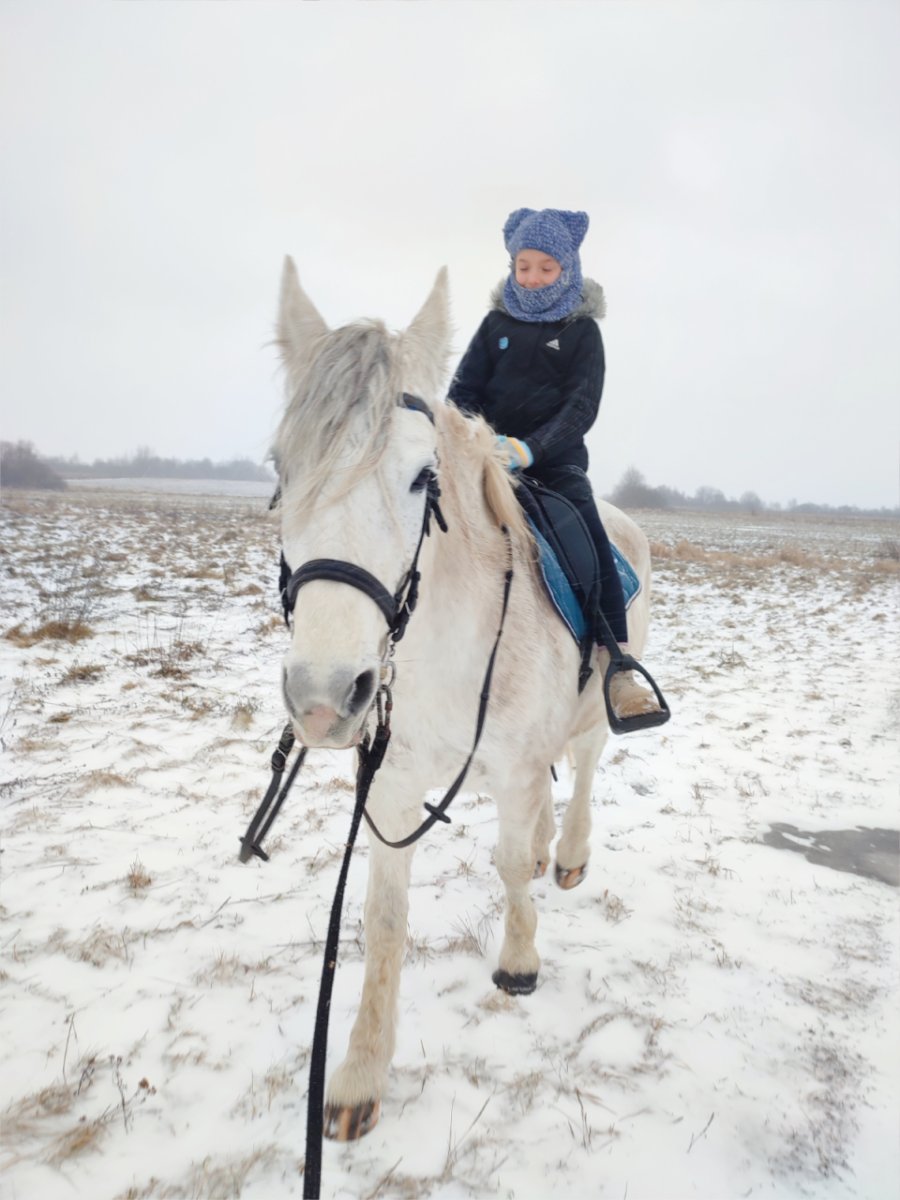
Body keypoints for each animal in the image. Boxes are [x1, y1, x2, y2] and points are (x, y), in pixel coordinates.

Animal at [272, 259, 656, 1142]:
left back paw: (568, 853)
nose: (324, 696)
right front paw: (357, 1077)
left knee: (584, 772)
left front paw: (517, 962)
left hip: (596, 711)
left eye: (422, 476)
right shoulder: (392, 780)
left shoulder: (512, 764)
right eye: (280, 468)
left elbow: (510, 864)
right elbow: (382, 919)